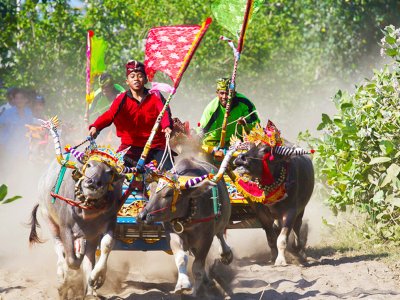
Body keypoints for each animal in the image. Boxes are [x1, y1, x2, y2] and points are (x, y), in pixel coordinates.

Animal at [29, 156, 125, 298]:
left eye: (110, 172)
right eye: (89, 165)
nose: (93, 182)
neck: (88, 212)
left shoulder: (109, 223)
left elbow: (106, 245)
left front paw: (97, 278)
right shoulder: (65, 227)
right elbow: (71, 260)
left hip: (91, 236)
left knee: (88, 260)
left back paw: (90, 293)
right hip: (48, 218)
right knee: (59, 248)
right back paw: (62, 279)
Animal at [138, 158, 233, 296]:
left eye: (169, 194)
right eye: (150, 190)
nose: (142, 216)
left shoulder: (206, 237)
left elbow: (197, 267)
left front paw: (196, 292)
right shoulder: (172, 234)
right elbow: (182, 258)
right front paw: (182, 284)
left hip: (224, 216)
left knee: (220, 234)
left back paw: (226, 255)